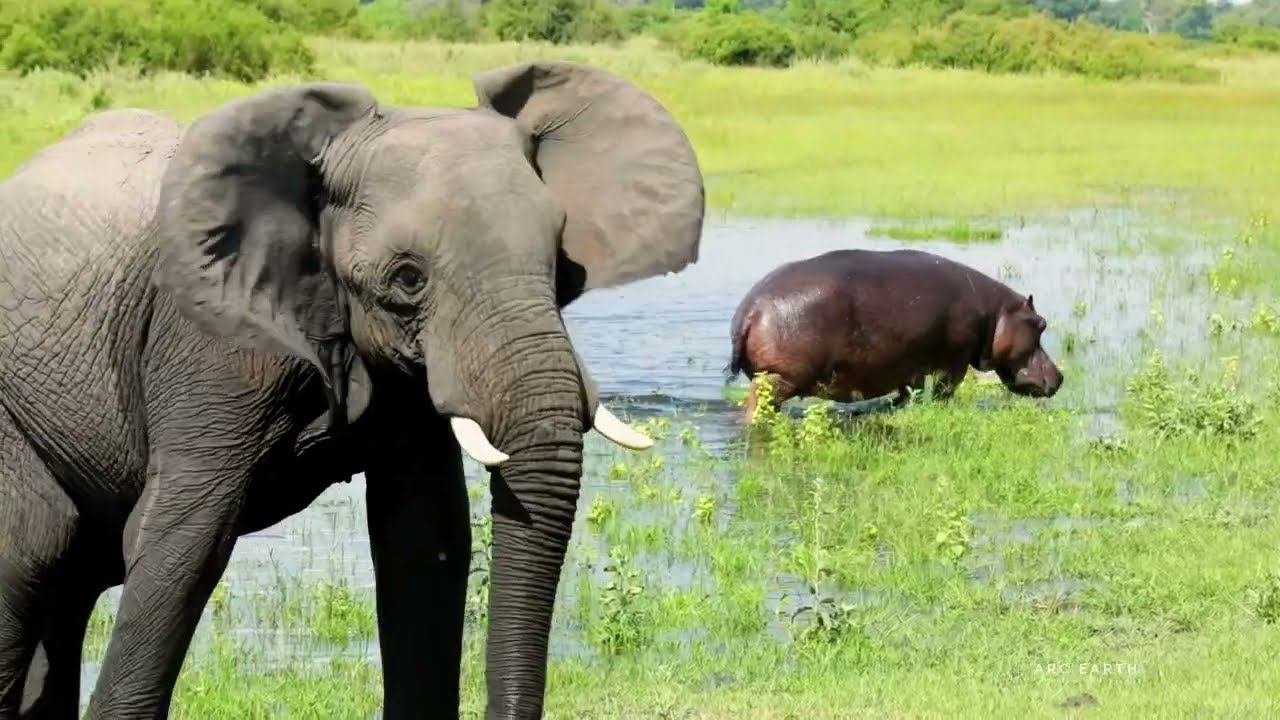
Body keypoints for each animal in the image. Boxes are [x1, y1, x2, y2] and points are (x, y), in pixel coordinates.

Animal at [0, 61, 703, 718]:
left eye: (561, 267)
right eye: (408, 279)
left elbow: (425, 538)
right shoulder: (209, 341)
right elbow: (184, 539)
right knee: (34, 548)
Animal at [728, 249, 1062, 419]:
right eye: (1041, 323)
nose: (1060, 377)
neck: (995, 312)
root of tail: (751, 309)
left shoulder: (908, 363)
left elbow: (909, 392)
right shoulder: (953, 362)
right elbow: (944, 391)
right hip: (780, 378)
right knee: (757, 404)